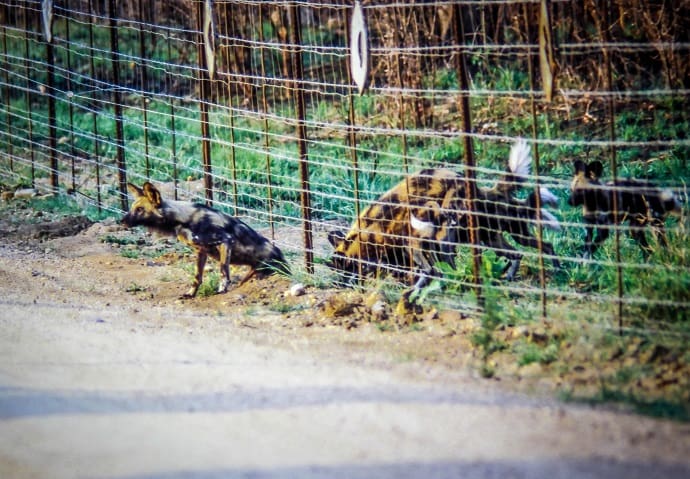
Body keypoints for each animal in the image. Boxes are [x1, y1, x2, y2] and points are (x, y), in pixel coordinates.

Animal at [122, 183, 286, 298]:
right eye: (132, 208)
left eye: (140, 209)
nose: (121, 221)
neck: (180, 220)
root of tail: (282, 257)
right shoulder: (201, 251)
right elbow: (197, 277)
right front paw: (190, 294)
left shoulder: (226, 240)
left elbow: (223, 270)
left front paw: (222, 290)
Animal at [326, 140, 560, 292]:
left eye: (344, 269)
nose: (338, 284)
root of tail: (485, 192)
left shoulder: (409, 246)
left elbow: (424, 270)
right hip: (500, 237)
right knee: (528, 251)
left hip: (455, 229)